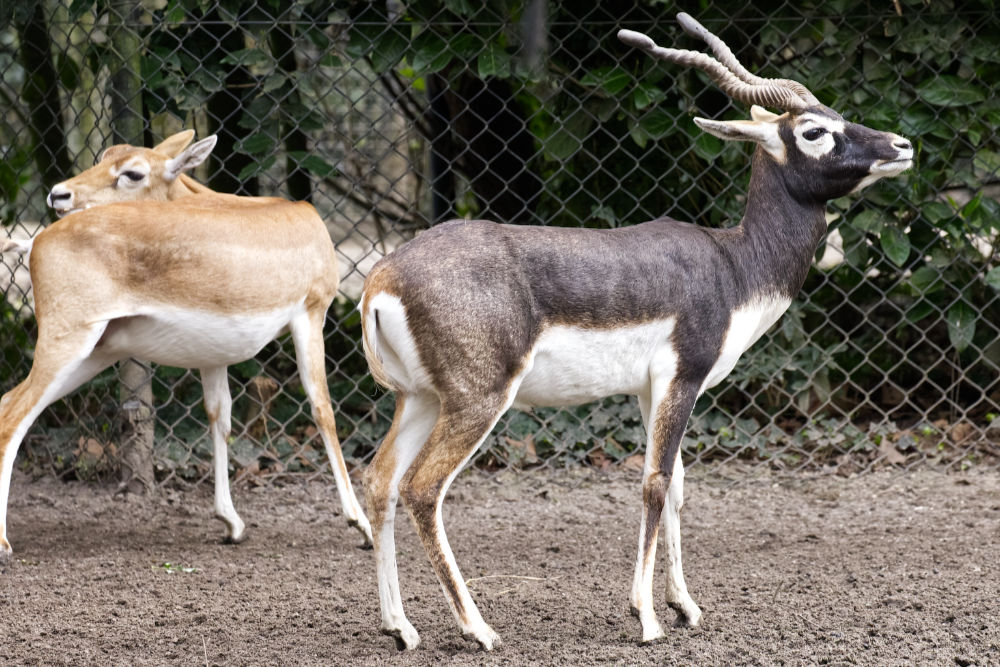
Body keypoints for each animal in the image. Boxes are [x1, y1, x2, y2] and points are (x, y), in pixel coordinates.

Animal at [362, 13, 916, 656]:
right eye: (814, 131)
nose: (901, 146)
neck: (734, 265)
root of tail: (382, 275)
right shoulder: (682, 375)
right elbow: (654, 484)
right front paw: (646, 617)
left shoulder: (655, 388)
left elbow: (677, 486)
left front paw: (686, 607)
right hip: (479, 399)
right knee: (424, 488)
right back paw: (479, 629)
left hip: (421, 398)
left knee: (380, 481)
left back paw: (400, 627)